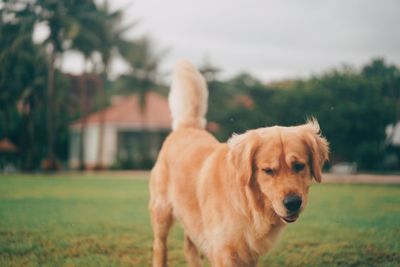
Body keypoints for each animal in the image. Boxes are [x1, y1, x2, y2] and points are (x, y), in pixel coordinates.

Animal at [150, 59, 328, 266]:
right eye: (268, 170)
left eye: (299, 166)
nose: (293, 203)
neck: (250, 204)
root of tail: (187, 127)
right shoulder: (223, 251)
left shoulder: (250, 255)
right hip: (162, 213)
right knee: (160, 247)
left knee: (189, 247)